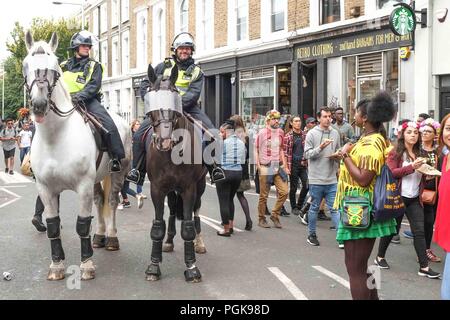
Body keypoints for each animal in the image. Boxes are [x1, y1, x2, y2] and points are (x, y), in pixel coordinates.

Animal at [23, 30, 132, 280]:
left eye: (55, 67)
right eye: (26, 65)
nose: (39, 105)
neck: (56, 138)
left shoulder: (82, 186)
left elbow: (82, 224)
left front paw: (86, 265)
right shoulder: (46, 188)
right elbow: (53, 225)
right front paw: (56, 266)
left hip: (118, 172)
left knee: (111, 202)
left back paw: (111, 238)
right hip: (96, 179)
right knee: (100, 201)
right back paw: (99, 237)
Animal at [144, 65, 207, 282]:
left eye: (175, 95)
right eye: (151, 96)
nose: (163, 141)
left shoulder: (189, 188)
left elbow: (187, 227)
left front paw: (192, 267)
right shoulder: (157, 188)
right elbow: (157, 226)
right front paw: (154, 266)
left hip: (200, 186)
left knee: (196, 212)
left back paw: (199, 243)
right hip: (170, 190)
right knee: (171, 210)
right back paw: (169, 240)